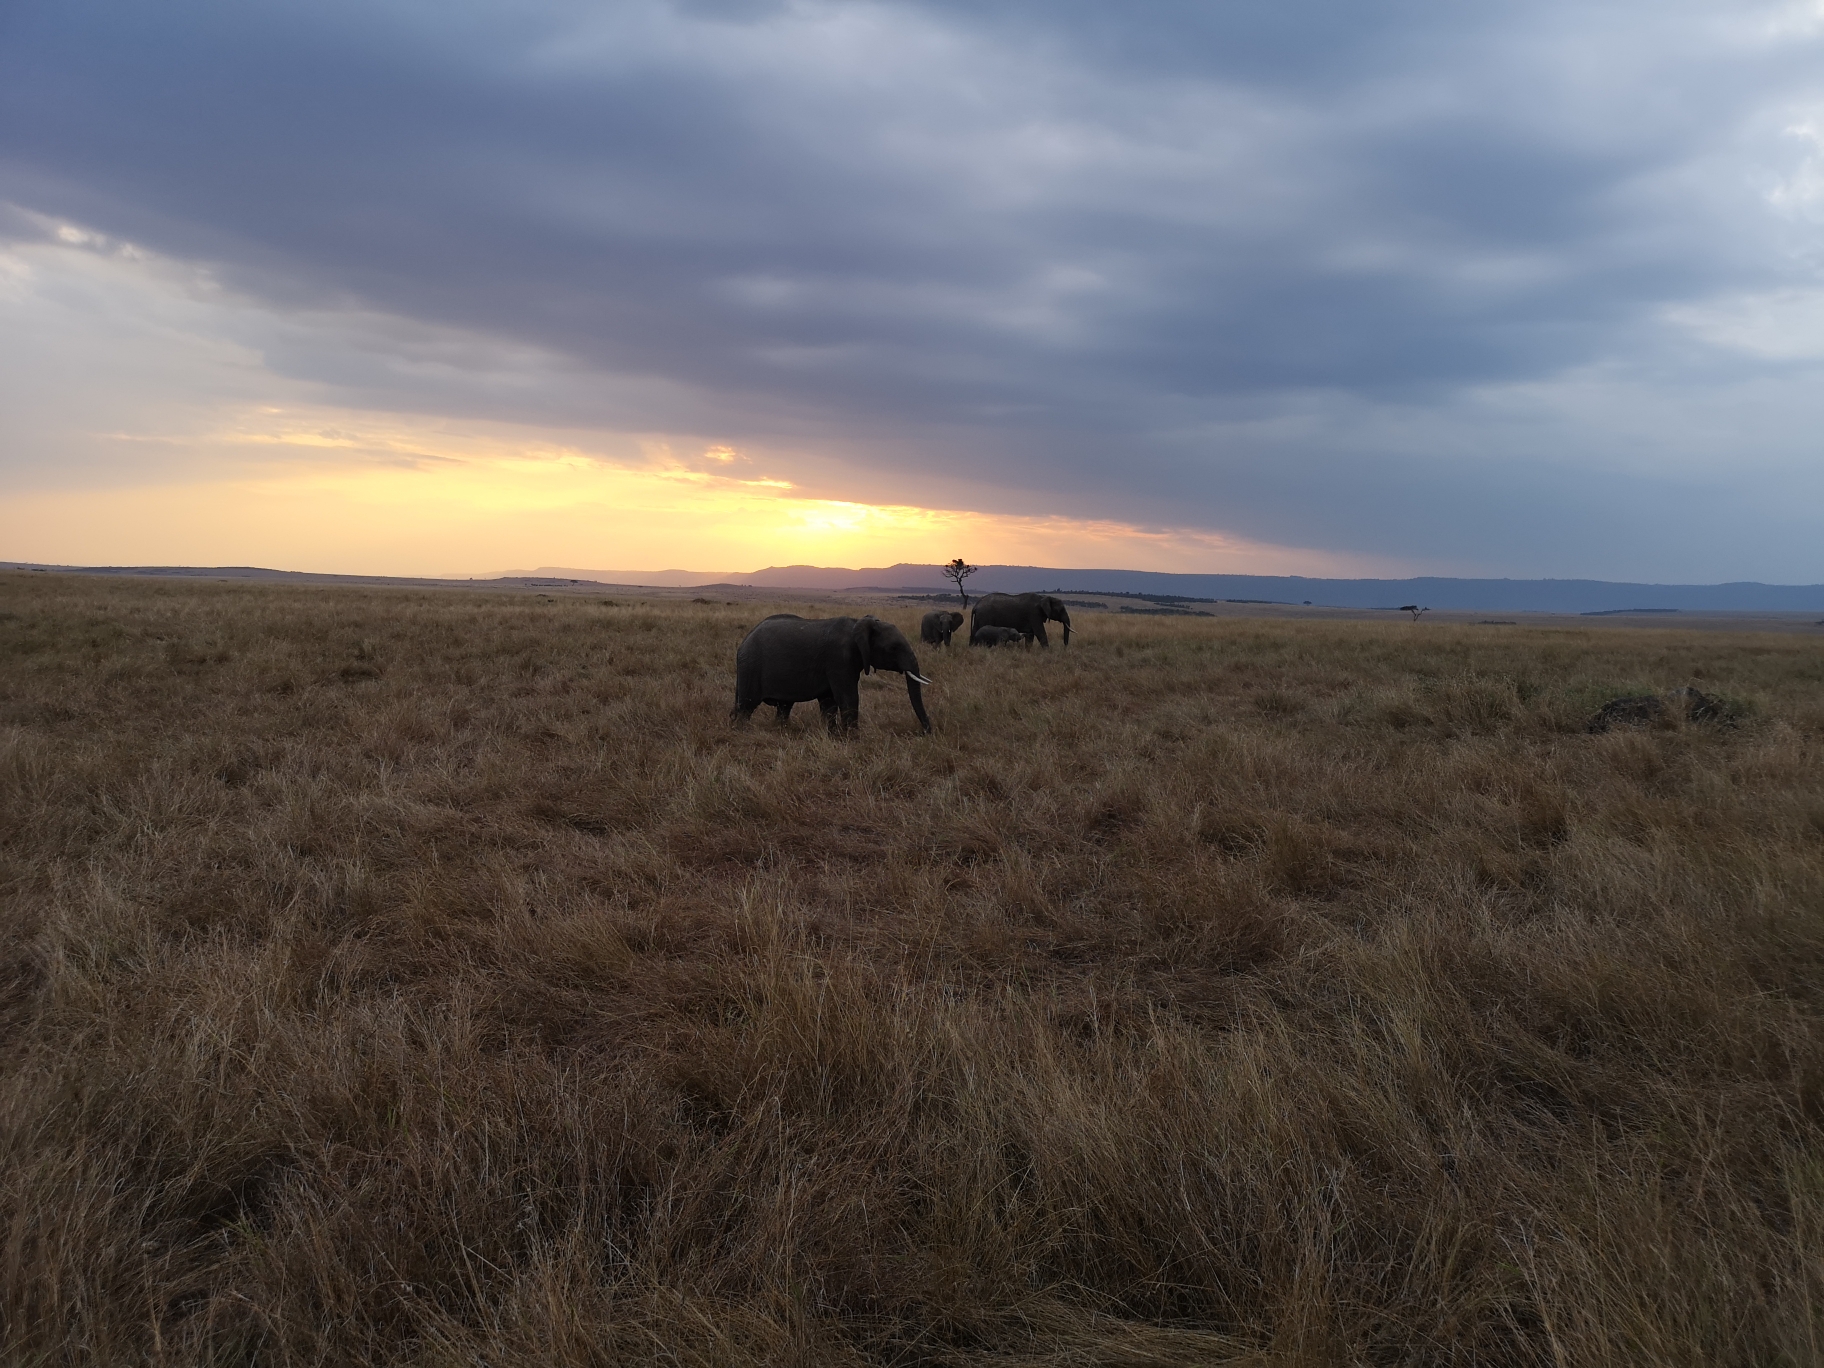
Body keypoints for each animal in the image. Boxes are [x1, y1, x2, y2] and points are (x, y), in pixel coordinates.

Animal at [729, 616, 933, 733]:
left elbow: (829, 702)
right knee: (746, 706)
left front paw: (834, 736)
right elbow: (848, 697)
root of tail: (744, 642)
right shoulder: (839, 659)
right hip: (751, 666)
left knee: (782, 707)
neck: (859, 624)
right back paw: (742, 733)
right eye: (893, 648)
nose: (926, 732)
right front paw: (853, 740)